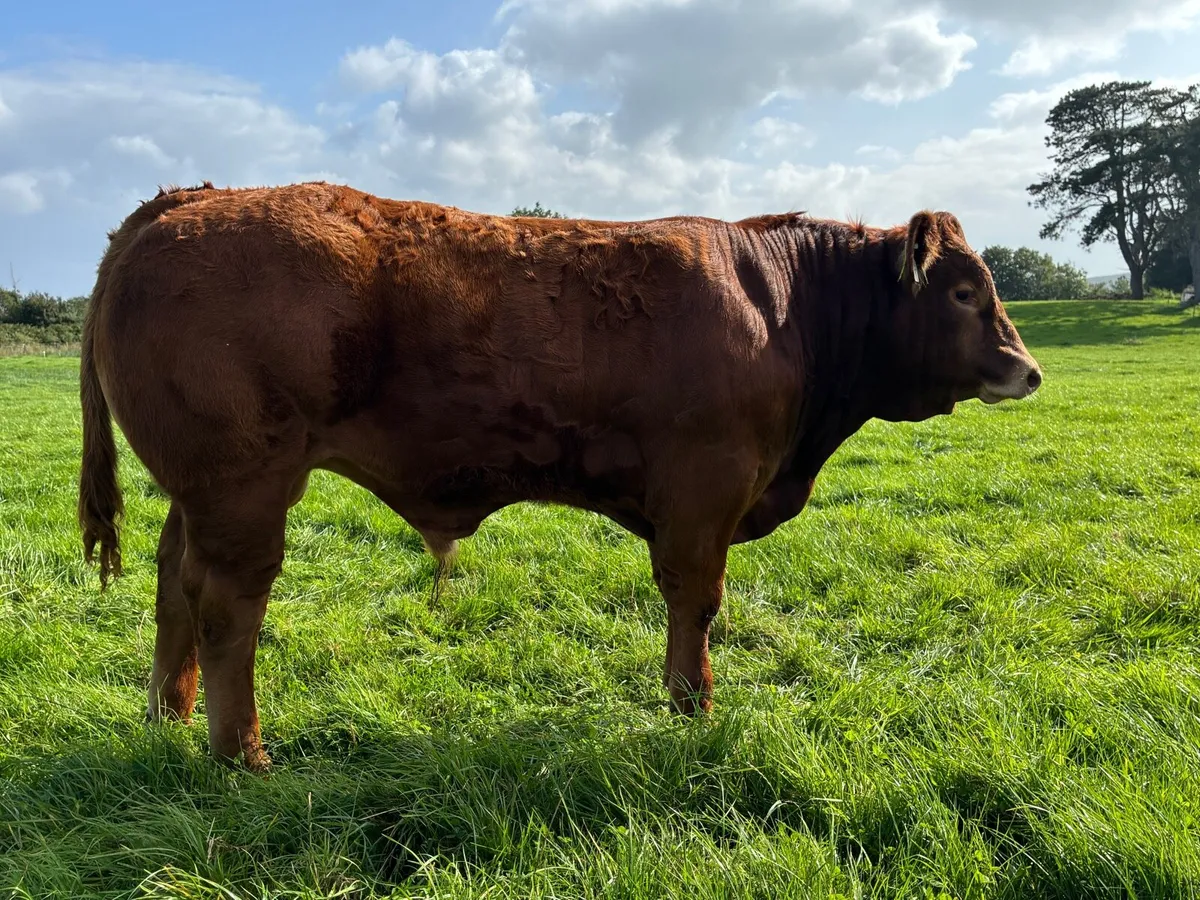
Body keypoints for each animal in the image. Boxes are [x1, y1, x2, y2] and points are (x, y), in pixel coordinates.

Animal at [77, 181, 1041, 772]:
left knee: (174, 586)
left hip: (200, 494)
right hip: (243, 488)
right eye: (963, 293)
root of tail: (189, 202)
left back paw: (168, 716)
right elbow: (696, 601)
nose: (1027, 370)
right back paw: (242, 753)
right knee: (226, 610)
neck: (780, 304)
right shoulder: (705, 491)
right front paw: (693, 709)